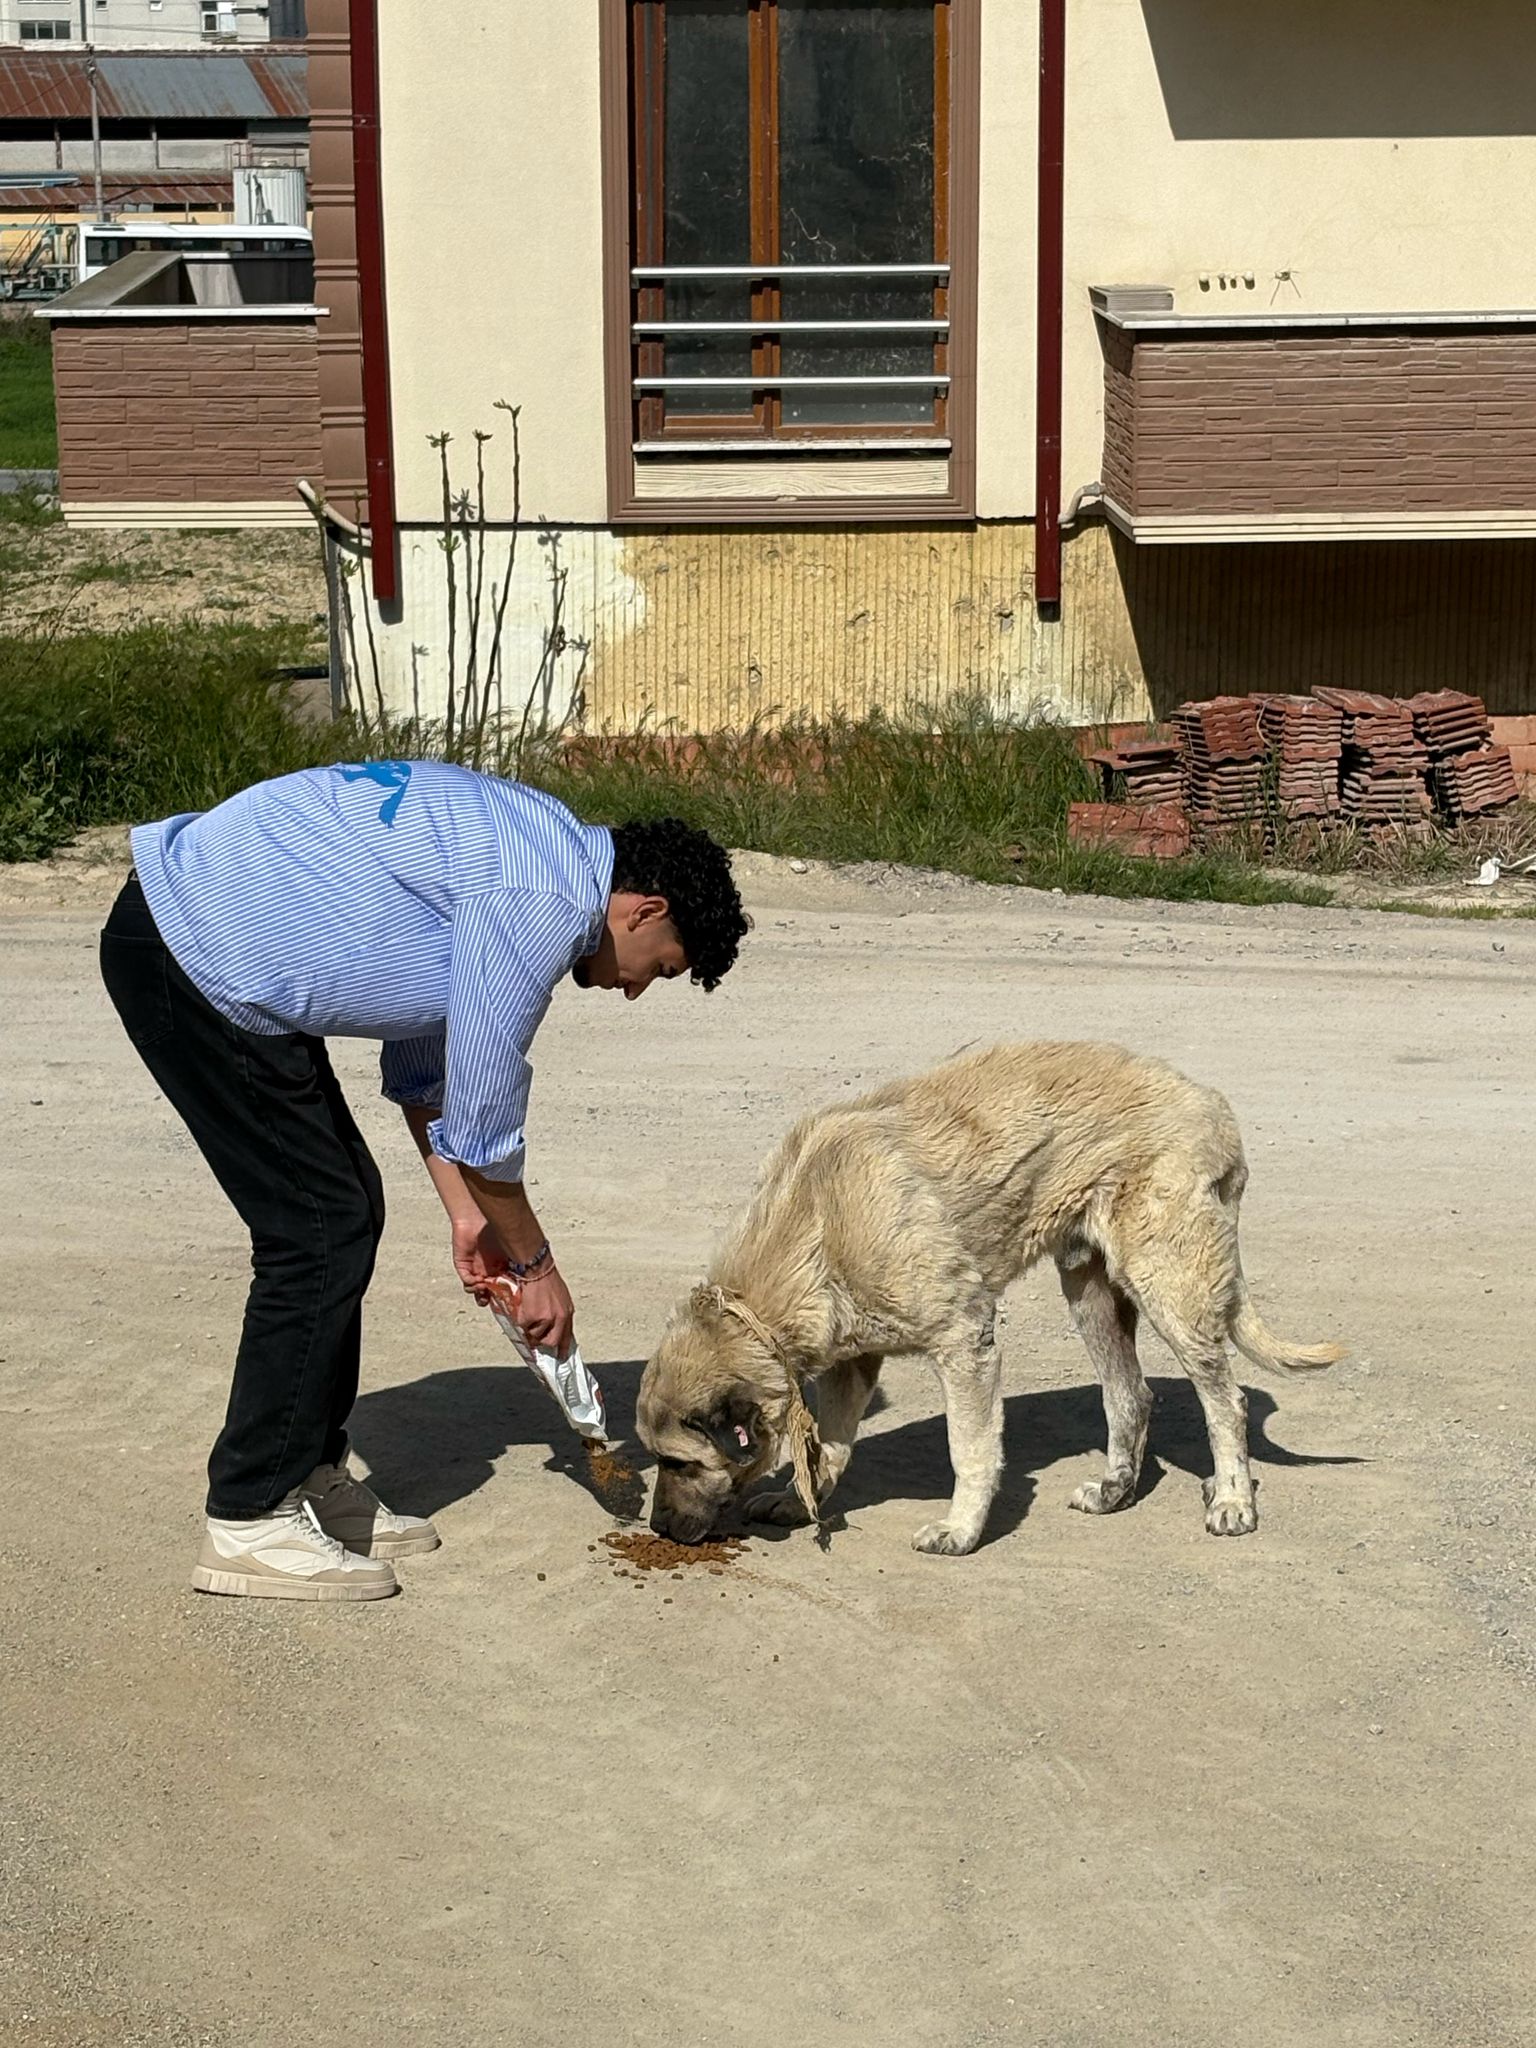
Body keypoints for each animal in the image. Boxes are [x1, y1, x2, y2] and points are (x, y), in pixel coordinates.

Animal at [636, 1042, 1343, 1554]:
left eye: (680, 1464)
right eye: (658, 1461)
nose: (659, 1530)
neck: (816, 1224)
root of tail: (1213, 1106)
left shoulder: (965, 1339)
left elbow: (968, 1448)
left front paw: (961, 1530)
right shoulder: (851, 1360)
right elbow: (831, 1442)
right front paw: (798, 1498)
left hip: (1169, 1283)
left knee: (1226, 1400)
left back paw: (1232, 1499)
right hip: (1090, 1292)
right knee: (1131, 1396)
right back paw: (1116, 1490)